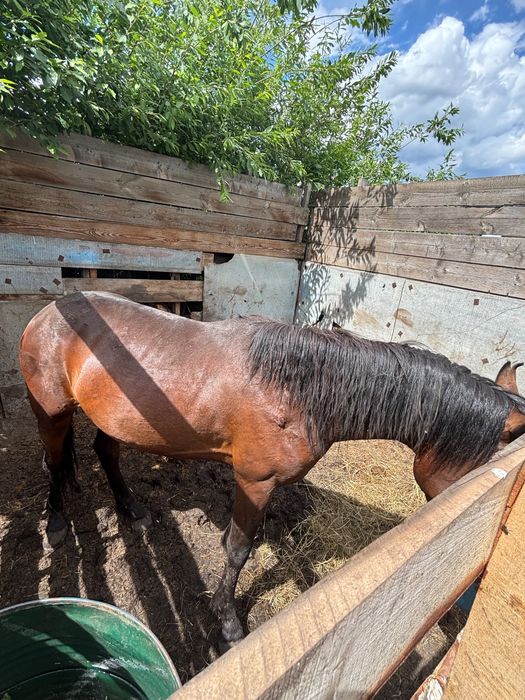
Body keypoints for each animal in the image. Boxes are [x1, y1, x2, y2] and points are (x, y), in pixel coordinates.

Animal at [19, 291, 525, 644]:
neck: (301, 389)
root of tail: (50, 312)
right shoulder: (255, 482)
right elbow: (238, 551)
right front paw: (226, 621)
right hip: (51, 414)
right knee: (54, 463)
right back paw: (57, 523)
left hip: (118, 418)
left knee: (106, 452)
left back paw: (130, 509)